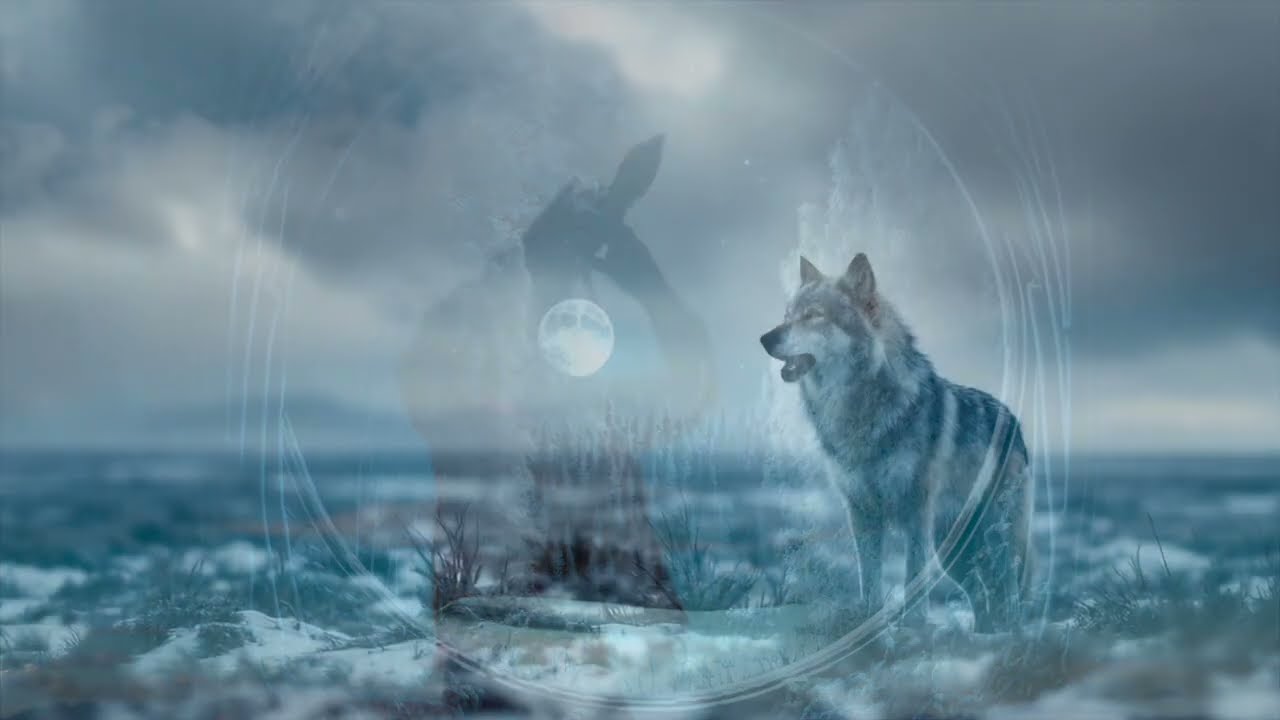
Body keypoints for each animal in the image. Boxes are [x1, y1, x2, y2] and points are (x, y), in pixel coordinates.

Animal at [761, 254, 1033, 632]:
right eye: (787, 316)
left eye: (813, 315)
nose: (764, 338)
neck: (859, 412)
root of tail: (1014, 421)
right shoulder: (860, 512)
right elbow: (869, 578)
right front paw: (868, 622)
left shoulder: (915, 511)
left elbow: (912, 575)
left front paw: (913, 628)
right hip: (955, 550)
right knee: (982, 596)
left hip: (996, 538)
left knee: (1009, 592)